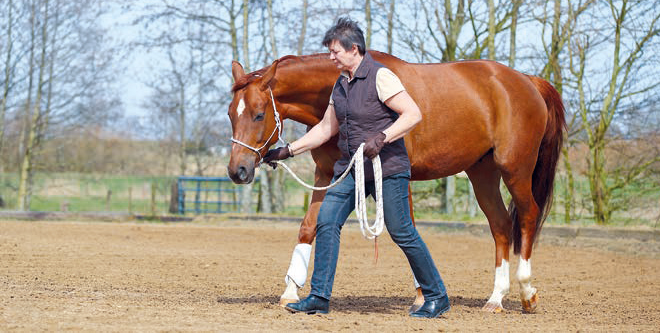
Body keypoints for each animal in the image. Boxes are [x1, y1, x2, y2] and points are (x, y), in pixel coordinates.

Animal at [228, 50, 568, 312]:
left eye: (259, 114)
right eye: (232, 113)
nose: (237, 171)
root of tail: (527, 81)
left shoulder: (397, 178)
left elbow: (407, 230)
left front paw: (422, 297)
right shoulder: (328, 174)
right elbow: (308, 227)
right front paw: (290, 291)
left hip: (515, 169)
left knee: (527, 216)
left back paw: (527, 293)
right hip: (482, 173)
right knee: (500, 226)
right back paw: (496, 298)